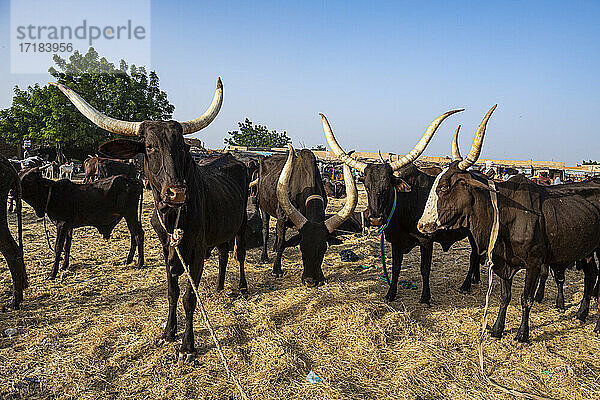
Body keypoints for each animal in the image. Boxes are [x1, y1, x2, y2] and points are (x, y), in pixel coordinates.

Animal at [52, 78, 248, 362]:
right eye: (150, 147)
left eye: (182, 148)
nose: (177, 193)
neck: (173, 215)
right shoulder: (167, 247)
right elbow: (172, 291)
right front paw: (168, 332)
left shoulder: (197, 250)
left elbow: (189, 297)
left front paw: (187, 347)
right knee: (223, 254)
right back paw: (220, 286)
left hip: (242, 222)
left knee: (239, 254)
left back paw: (242, 286)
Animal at [256, 144, 356, 288]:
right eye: (302, 248)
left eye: (323, 250)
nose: (310, 281)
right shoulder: (282, 217)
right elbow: (281, 243)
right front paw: (276, 270)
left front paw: (322, 276)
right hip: (263, 207)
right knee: (265, 230)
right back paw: (264, 256)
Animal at [322, 109, 480, 304]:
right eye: (366, 185)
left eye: (388, 185)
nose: (375, 218)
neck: (403, 208)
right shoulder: (396, 242)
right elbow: (395, 268)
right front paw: (391, 293)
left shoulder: (426, 241)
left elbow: (424, 269)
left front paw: (425, 298)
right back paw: (474, 279)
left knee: (474, 255)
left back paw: (466, 285)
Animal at [418, 105, 600, 340]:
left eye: (444, 187)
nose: (421, 225)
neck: (504, 217)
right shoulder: (503, 262)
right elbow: (506, 296)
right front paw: (497, 328)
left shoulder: (534, 262)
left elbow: (526, 298)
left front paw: (523, 334)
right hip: (587, 252)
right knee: (591, 277)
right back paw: (582, 314)